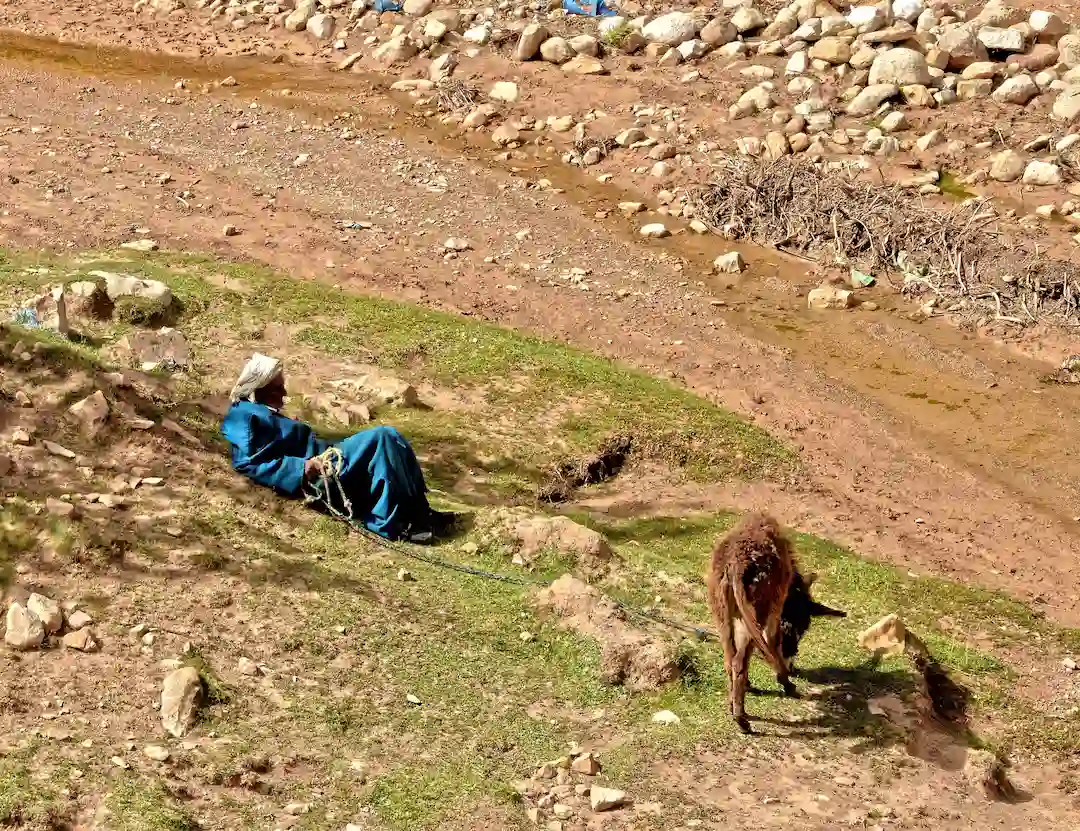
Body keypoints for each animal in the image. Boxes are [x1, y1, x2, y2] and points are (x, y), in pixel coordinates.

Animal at [707, 513, 845, 733]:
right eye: (801, 628)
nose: (793, 662)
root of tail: (735, 566)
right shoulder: (776, 608)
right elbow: (771, 642)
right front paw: (786, 683)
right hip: (757, 609)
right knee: (740, 660)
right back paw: (742, 720)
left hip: (721, 610)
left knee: (729, 657)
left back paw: (733, 705)